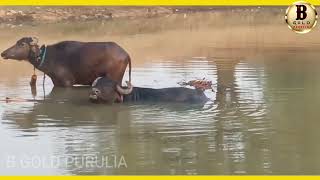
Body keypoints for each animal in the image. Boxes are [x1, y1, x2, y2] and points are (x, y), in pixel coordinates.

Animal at [0, 37, 131, 87]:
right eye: (17, 42)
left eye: (22, 44)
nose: (3, 53)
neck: (50, 57)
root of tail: (125, 53)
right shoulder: (56, 83)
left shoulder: (67, 83)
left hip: (115, 77)